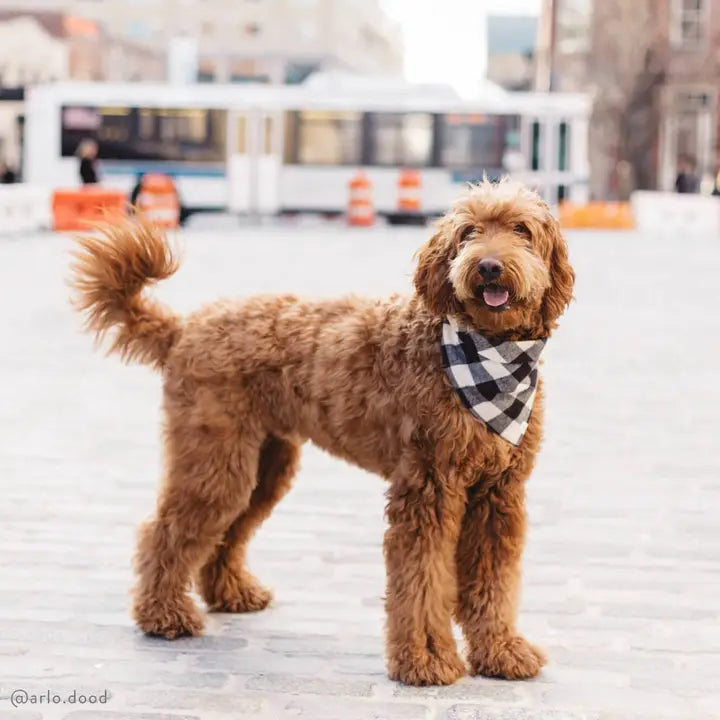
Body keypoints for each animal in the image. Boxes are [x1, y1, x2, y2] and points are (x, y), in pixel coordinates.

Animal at [71, 180, 572, 688]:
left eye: (521, 230)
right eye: (468, 232)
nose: (488, 265)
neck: (485, 355)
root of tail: (184, 328)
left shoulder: (499, 493)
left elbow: (494, 580)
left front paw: (501, 651)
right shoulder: (428, 488)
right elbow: (423, 580)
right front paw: (425, 658)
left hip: (264, 465)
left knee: (227, 531)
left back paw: (231, 593)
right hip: (215, 458)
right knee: (166, 530)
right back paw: (163, 615)